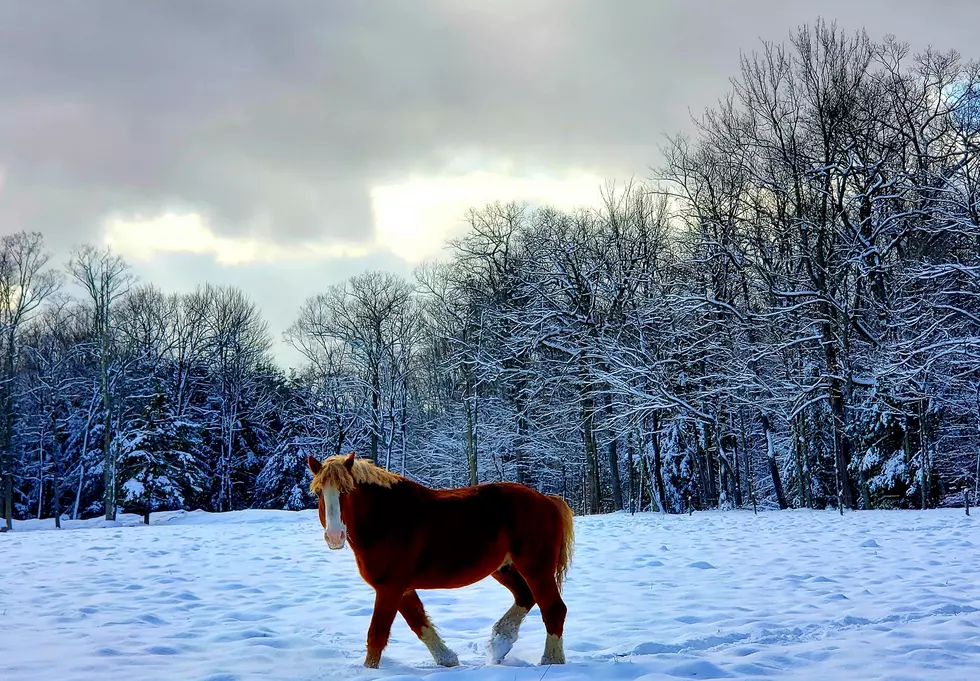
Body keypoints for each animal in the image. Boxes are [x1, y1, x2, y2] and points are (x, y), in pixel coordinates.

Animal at [306, 448, 576, 668]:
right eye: (319, 492)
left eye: (346, 491)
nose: (334, 536)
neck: (386, 519)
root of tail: (548, 500)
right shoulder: (402, 589)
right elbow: (420, 624)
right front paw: (448, 659)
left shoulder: (389, 588)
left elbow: (377, 635)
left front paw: (368, 671)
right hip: (505, 569)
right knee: (526, 597)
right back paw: (500, 643)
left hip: (536, 568)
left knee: (553, 608)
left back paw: (550, 661)